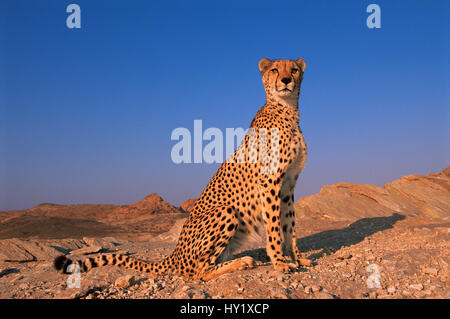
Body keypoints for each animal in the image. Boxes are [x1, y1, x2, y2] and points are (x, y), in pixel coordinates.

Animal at [54, 58, 310, 282]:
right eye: (275, 69)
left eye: (294, 69)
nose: (286, 80)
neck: (287, 110)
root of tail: (175, 252)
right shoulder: (270, 182)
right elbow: (275, 227)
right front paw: (279, 262)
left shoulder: (288, 185)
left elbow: (289, 225)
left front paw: (298, 258)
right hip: (226, 211)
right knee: (198, 272)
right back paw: (242, 262)